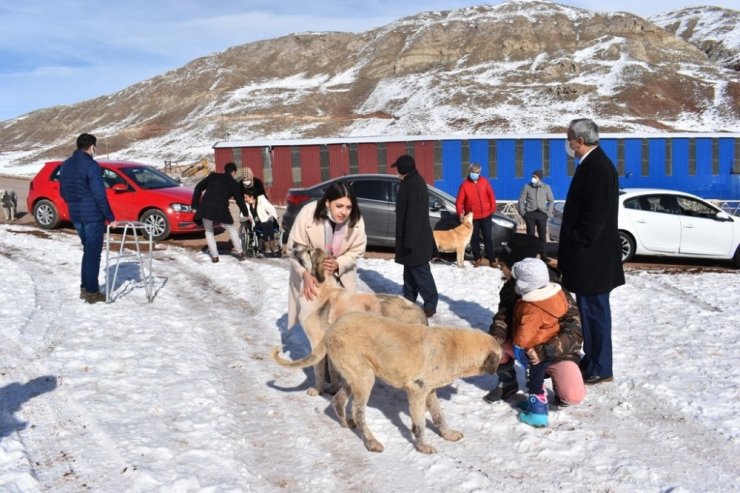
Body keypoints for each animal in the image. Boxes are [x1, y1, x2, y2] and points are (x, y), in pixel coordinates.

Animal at [272, 312, 502, 454]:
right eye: (500, 357)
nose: (502, 370)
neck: (454, 347)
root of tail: (331, 329)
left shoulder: (429, 392)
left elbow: (439, 416)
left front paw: (448, 434)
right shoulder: (417, 391)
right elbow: (420, 424)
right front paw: (422, 446)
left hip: (357, 376)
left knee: (337, 401)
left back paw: (346, 424)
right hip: (365, 378)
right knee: (358, 411)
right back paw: (371, 442)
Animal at [290, 246, 424, 396]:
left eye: (309, 251)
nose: (294, 245)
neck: (322, 286)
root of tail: (418, 308)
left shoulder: (316, 342)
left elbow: (318, 371)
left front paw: (317, 390)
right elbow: (332, 369)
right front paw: (334, 389)